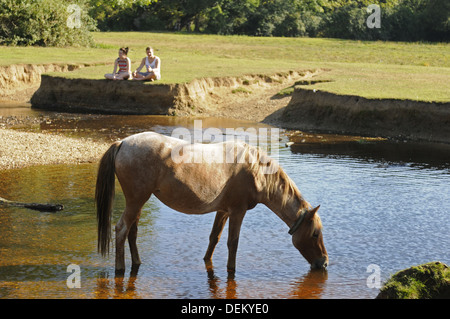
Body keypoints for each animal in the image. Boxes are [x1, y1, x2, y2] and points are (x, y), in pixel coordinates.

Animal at [96, 132, 326, 276]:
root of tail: (122, 143)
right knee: (121, 229)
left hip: (138, 201)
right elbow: (233, 243)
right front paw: (231, 270)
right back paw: (120, 269)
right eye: (315, 234)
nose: (323, 263)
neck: (256, 170)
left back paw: (137, 262)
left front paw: (207, 260)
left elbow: (214, 238)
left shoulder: (223, 211)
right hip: (136, 200)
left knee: (132, 232)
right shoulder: (237, 212)